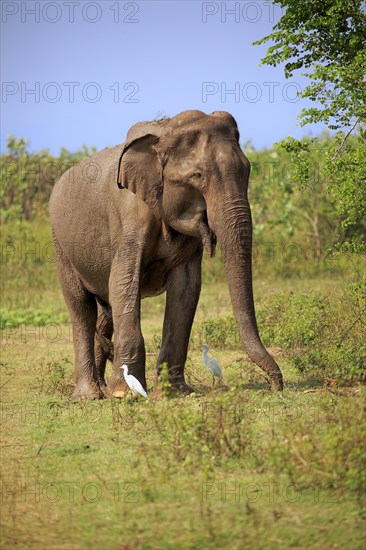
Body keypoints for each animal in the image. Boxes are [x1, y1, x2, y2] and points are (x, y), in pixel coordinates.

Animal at [49, 109, 284, 402]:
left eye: (247, 169)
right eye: (197, 175)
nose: (275, 386)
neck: (164, 132)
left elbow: (187, 288)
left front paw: (176, 393)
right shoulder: (128, 218)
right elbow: (123, 283)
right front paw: (125, 394)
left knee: (105, 313)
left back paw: (102, 389)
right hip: (60, 245)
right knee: (81, 308)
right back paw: (88, 396)